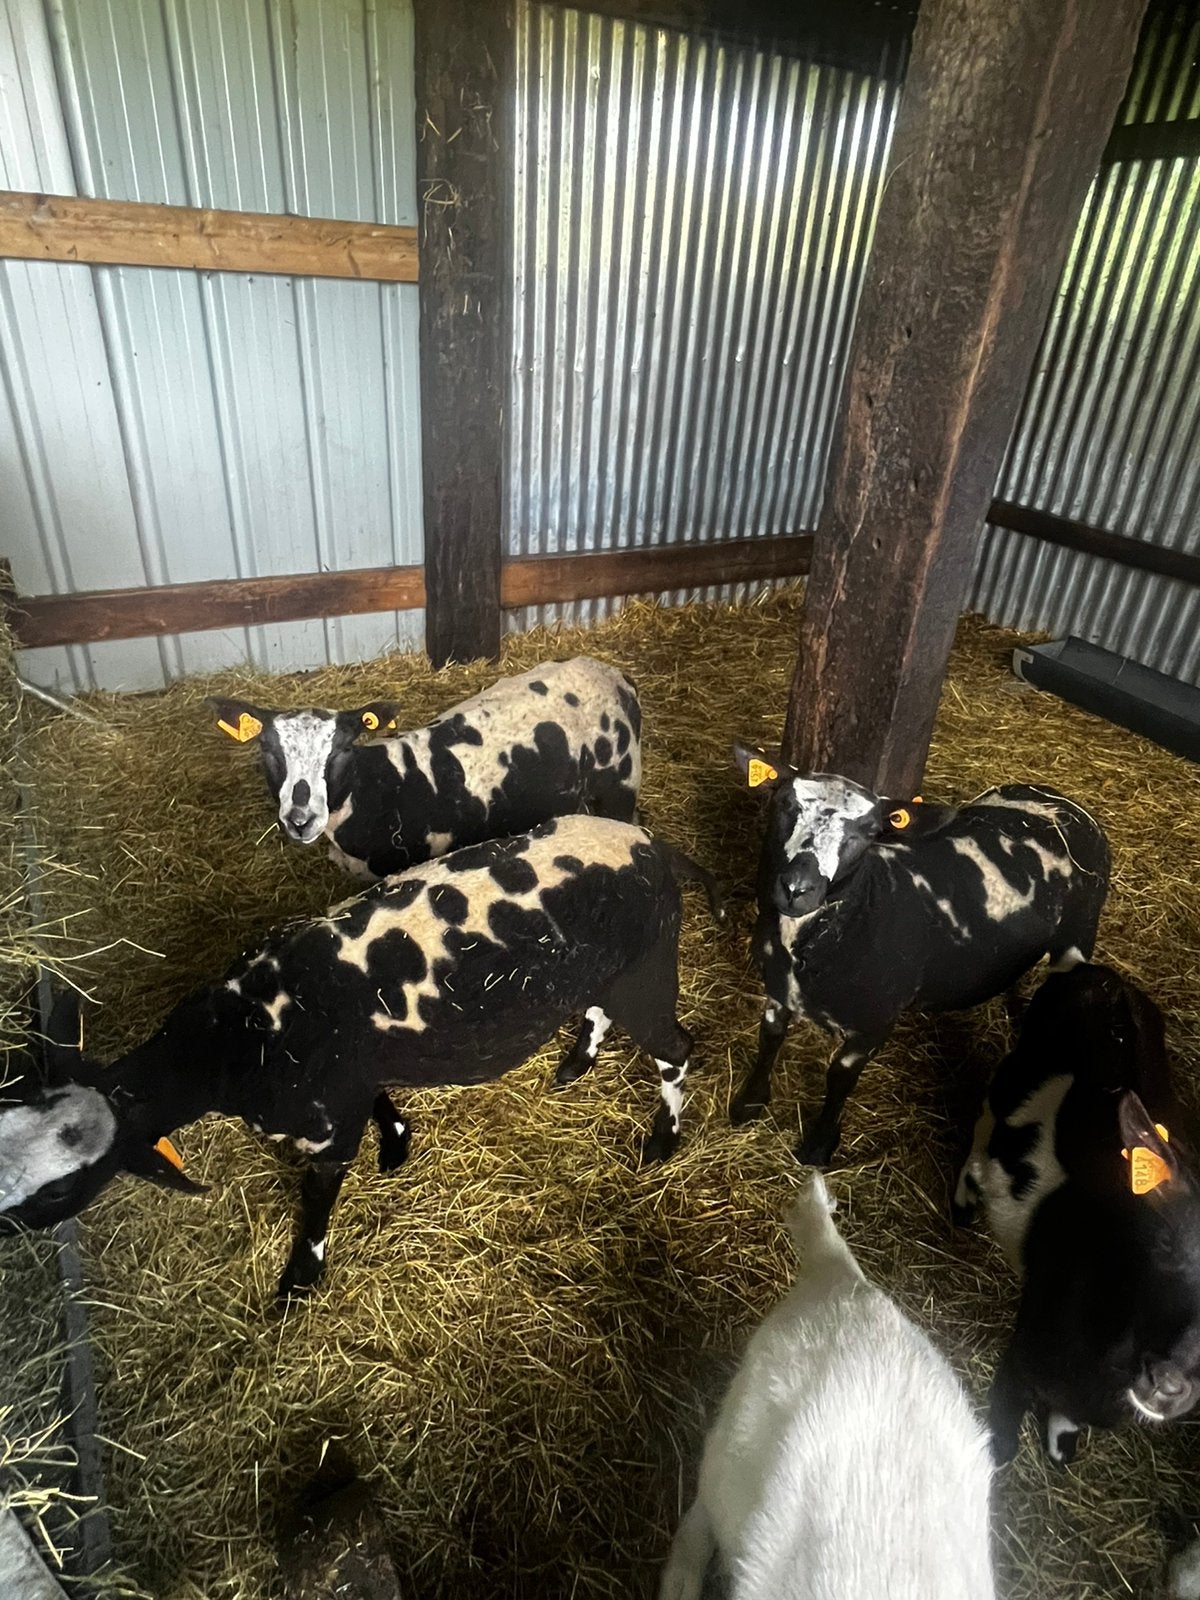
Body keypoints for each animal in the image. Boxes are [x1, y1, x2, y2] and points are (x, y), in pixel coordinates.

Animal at [0, 815, 713, 1300]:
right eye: (14, 1103)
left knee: (677, 1051)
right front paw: (397, 1141)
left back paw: (665, 1138)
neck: (234, 1040)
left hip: (647, 971)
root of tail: (650, 844)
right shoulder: (350, 1083)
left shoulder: (325, 1132)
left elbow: (316, 1207)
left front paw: (300, 1280)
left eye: (58, 1190)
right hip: (607, 975)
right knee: (599, 1011)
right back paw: (577, 1062)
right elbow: (379, 1099)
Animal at [209, 657, 642, 879]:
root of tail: (611, 672)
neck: (376, 790)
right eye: (268, 749)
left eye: (342, 750)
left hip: (621, 784)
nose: (301, 819)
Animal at [731, 747, 1110, 1165]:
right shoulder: (777, 989)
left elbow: (840, 1078)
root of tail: (1063, 803)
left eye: (869, 832)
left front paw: (819, 1145)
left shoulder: (874, 1025)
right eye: (783, 804)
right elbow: (770, 1038)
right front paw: (749, 1103)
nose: (798, 888)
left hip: (1079, 932)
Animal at [954, 962, 1200, 1465]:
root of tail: (1102, 975)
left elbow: (1065, 1429)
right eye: (1166, 1242)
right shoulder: (1021, 1358)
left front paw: (1060, 1442)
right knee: (984, 1125)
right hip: (1013, 1076)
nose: (1166, 1384)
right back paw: (966, 1194)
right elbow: (1001, 1448)